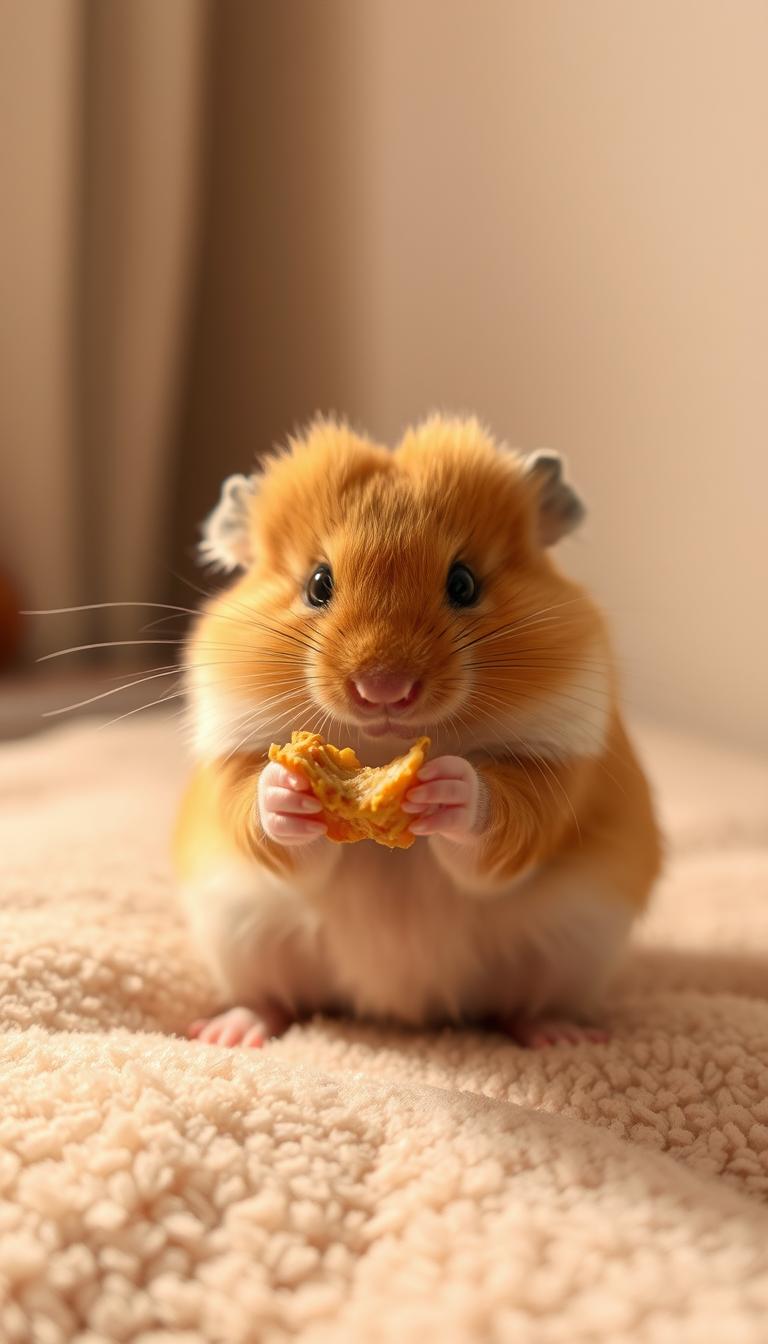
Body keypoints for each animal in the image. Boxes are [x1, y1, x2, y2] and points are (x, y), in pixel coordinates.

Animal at [174, 416, 661, 1049]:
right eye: (318, 584)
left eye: (464, 584)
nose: (383, 688)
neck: (382, 745)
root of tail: (401, 1010)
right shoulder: (236, 756)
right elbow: (266, 822)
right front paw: (290, 788)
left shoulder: (557, 767)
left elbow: (498, 824)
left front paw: (442, 785)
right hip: (239, 935)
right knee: (275, 1000)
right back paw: (226, 1033)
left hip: (574, 944)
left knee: (525, 1007)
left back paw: (564, 1038)